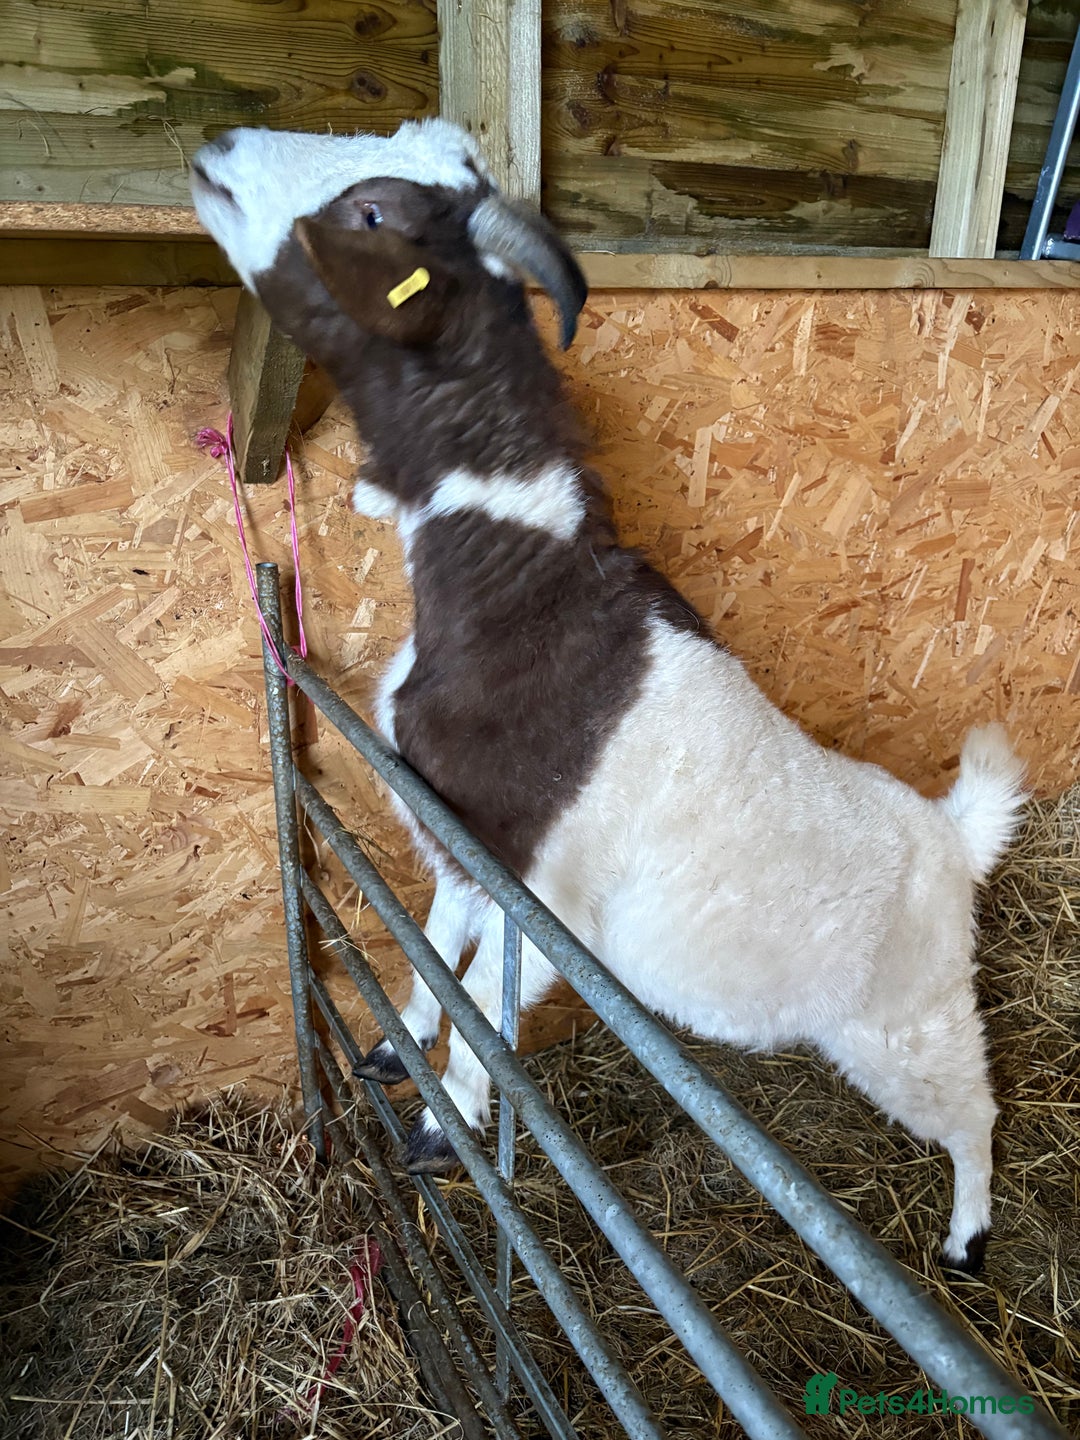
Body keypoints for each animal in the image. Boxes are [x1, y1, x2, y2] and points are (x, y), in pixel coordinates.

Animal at [192, 119, 1027, 1272]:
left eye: (372, 213)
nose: (220, 145)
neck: (520, 578)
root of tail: (955, 837)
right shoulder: (469, 843)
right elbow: (438, 957)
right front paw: (396, 1052)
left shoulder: (546, 892)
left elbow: (486, 1020)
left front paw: (437, 1133)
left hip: (910, 1016)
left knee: (975, 1109)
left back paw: (965, 1238)